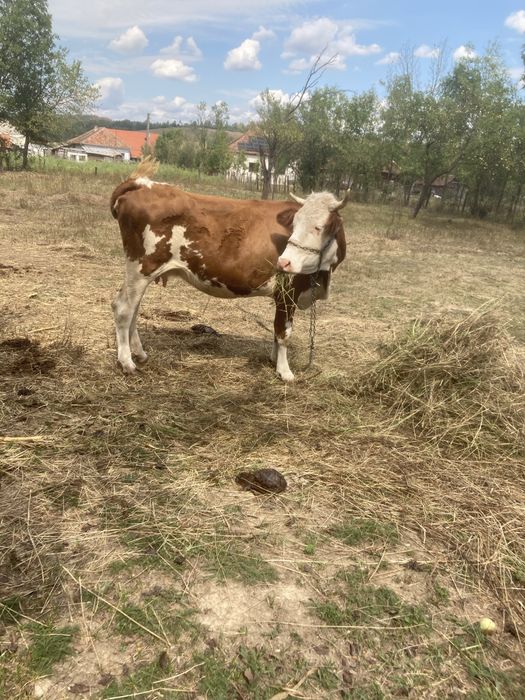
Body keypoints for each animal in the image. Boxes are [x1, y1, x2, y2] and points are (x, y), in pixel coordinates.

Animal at [110, 158, 348, 382]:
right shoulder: (288, 291)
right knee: (123, 309)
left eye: (318, 227)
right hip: (141, 268)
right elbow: (283, 333)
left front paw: (273, 360)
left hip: (141, 273)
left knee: (132, 309)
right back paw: (127, 362)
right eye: (295, 223)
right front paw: (285, 371)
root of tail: (144, 184)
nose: (284, 262)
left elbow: (275, 329)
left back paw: (139, 353)